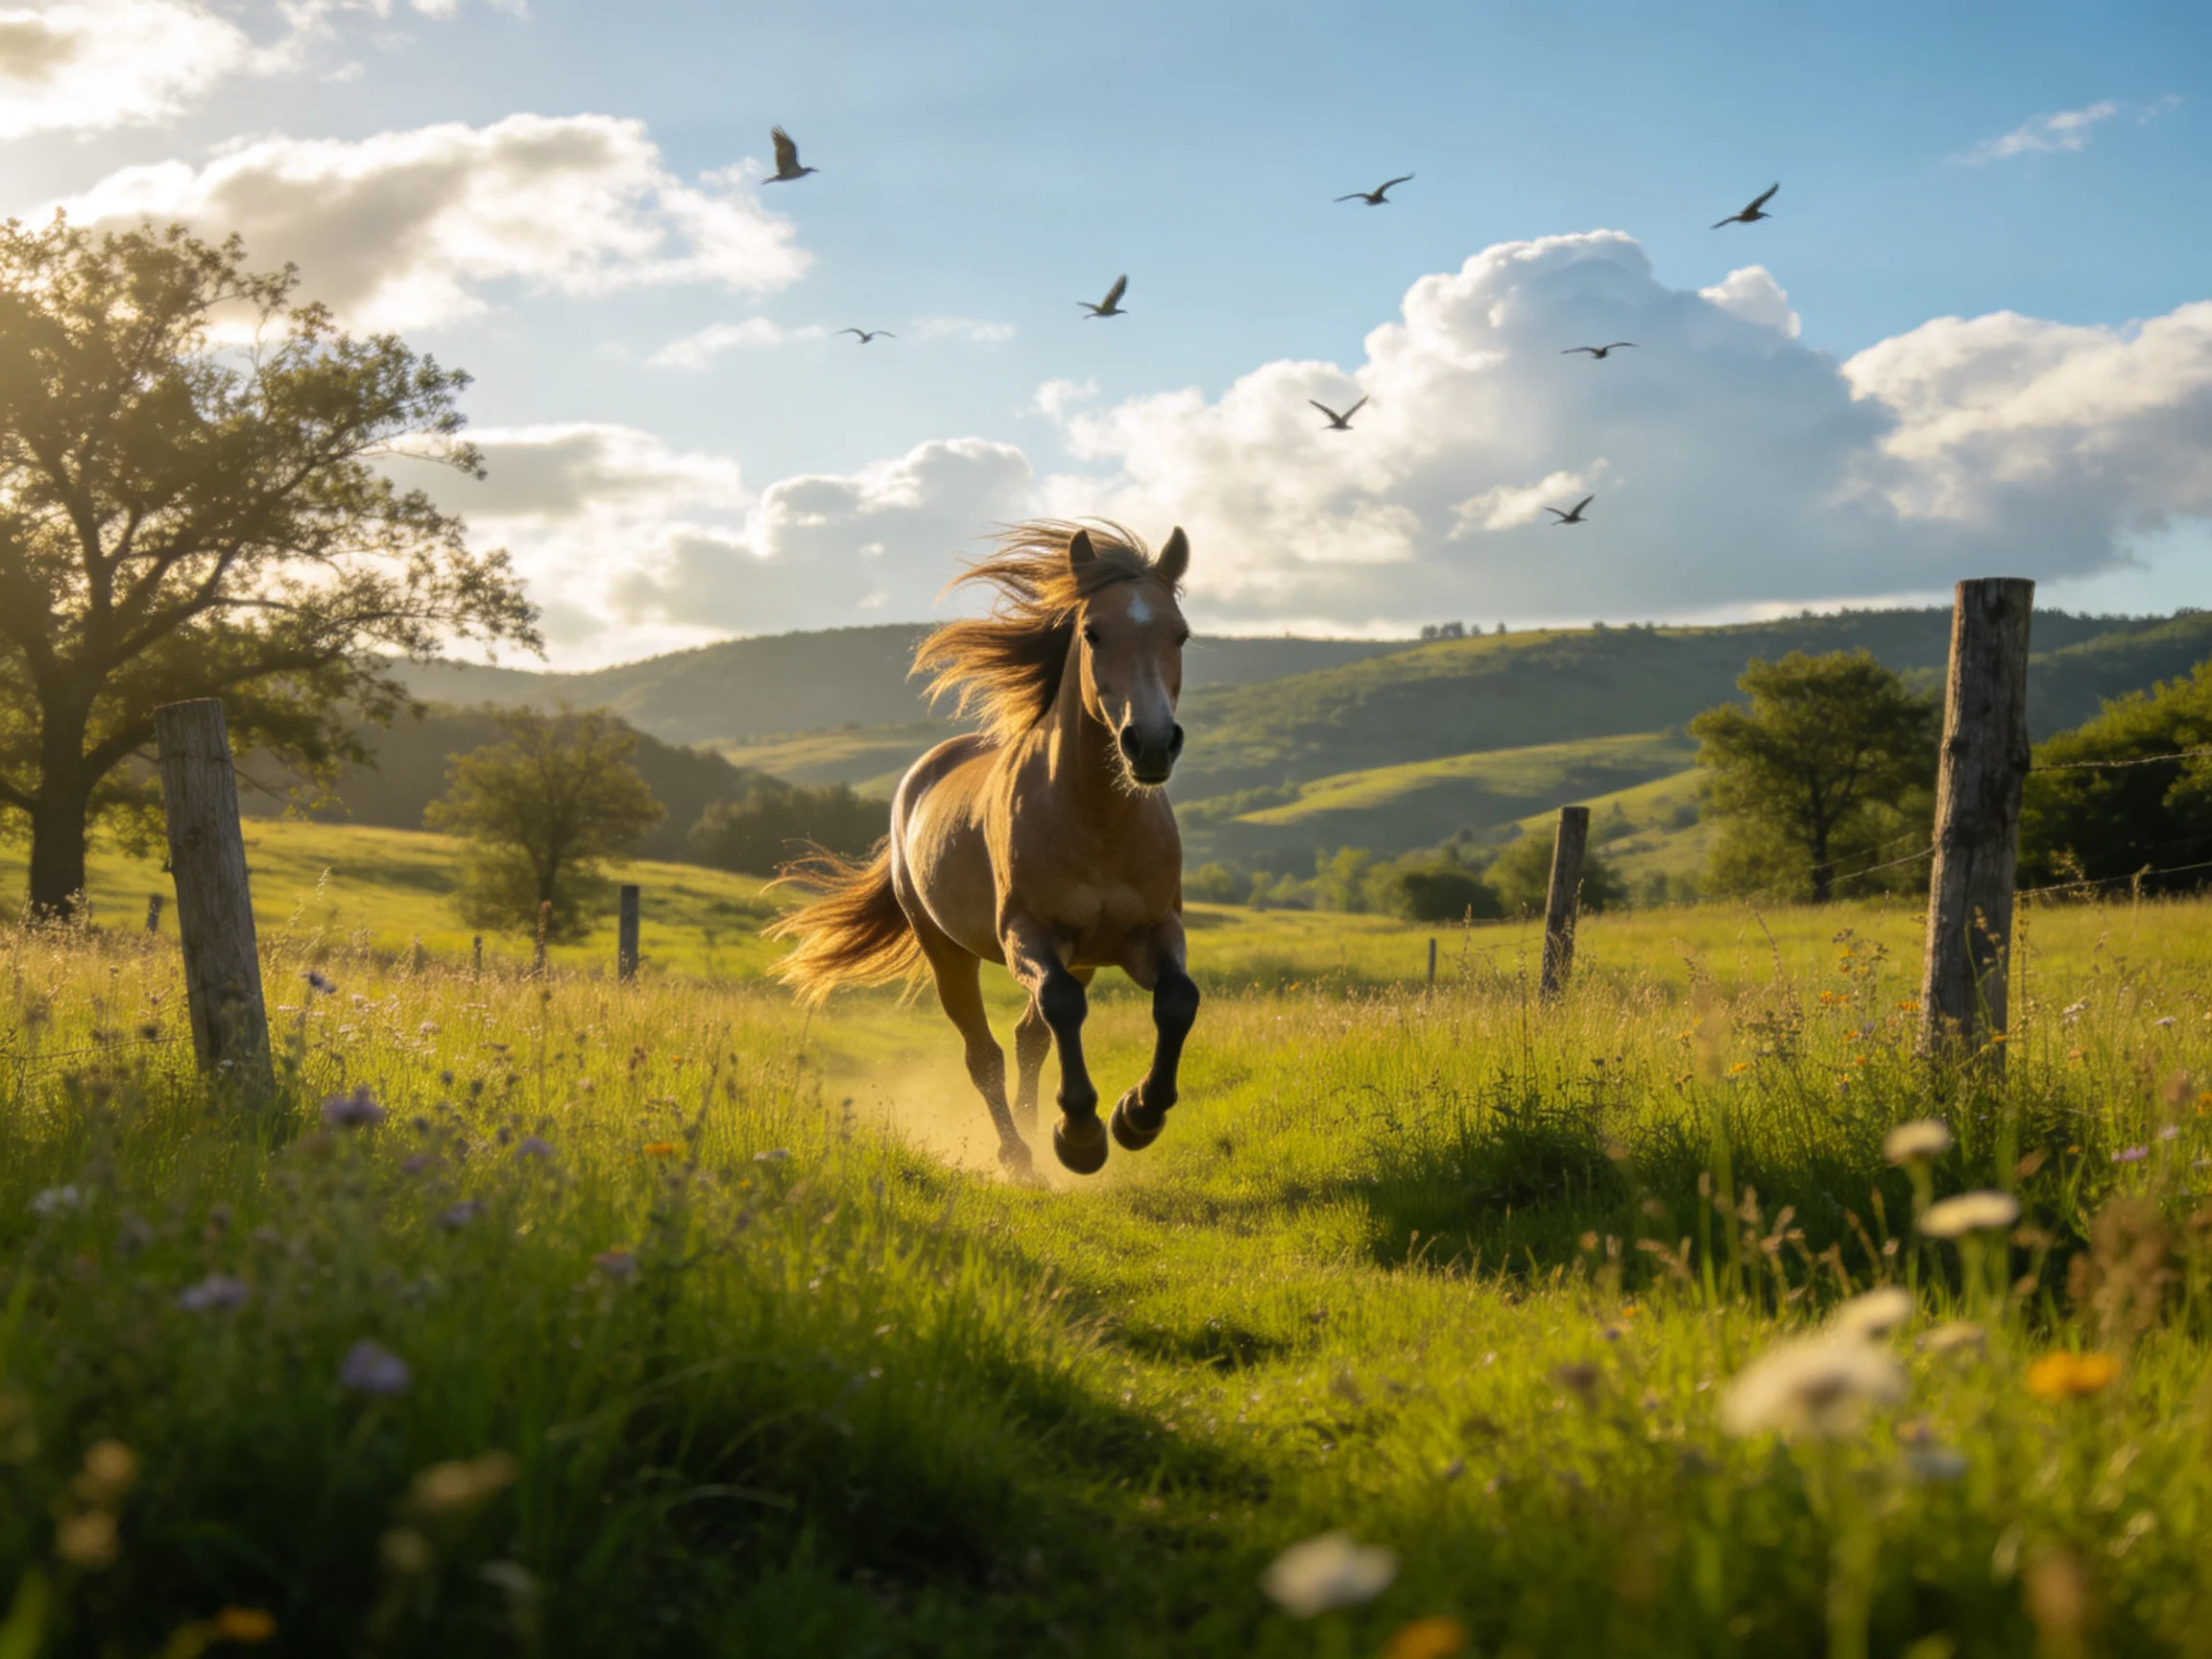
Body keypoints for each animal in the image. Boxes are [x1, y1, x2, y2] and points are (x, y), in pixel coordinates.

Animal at [768, 521, 1200, 1179]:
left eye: (1180, 633)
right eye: (1093, 633)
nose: (1149, 744)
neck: (1098, 820)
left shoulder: (1149, 930)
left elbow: (1177, 1001)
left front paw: (1136, 1116)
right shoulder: (1027, 933)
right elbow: (1060, 1005)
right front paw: (1080, 1136)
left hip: (1084, 953)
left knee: (1029, 1039)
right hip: (947, 952)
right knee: (985, 1053)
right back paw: (1018, 1155)